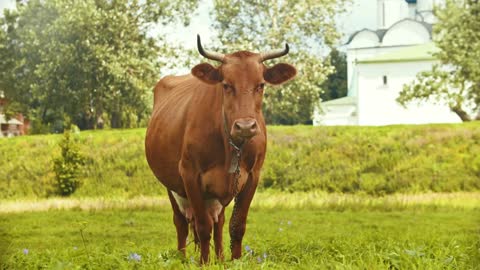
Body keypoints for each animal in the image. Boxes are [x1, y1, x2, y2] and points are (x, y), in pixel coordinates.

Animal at [145, 35, 296, 264]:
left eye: (261, 85)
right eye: (226, 85)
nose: (245, 126)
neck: (231, 146)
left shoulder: (252, 176)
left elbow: (237, 226)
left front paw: (234, 261)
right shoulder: (189, 174)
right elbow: (202, 227)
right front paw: (204, 264)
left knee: (219, 221)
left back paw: (221, 257)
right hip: (172, 185)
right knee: (182, 223)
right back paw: (182, 259)